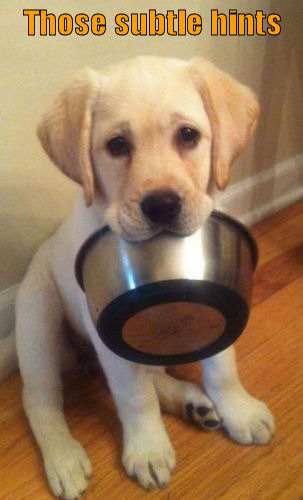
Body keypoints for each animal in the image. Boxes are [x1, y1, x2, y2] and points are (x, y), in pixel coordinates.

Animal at [12, 56, 276, 498]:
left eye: (188, 135)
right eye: (117, 145)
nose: (162, 204)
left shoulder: (219, 299)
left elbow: (222, 366)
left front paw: (238, 410)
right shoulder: (104, 329)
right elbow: (134, 397)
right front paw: (148, 448)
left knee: (151, 373)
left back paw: (193, 402)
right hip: (38, 327)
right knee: (40, 400)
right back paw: (64, 458)